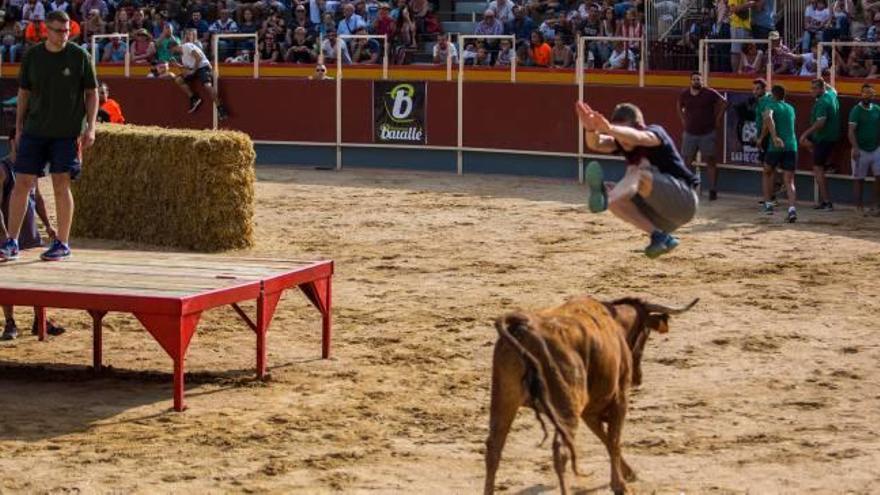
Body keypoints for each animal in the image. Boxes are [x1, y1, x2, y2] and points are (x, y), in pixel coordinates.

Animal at [484, 296, 696, 494]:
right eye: (646, 333)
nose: (638, 378)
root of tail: (524, 327)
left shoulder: (590, 410)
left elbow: (605, 437)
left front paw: (628, 472)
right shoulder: (619, 397)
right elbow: (614, 439)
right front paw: (620, 485)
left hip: (504, 400)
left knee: (494, 447)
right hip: (568, 406)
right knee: (561, 451)